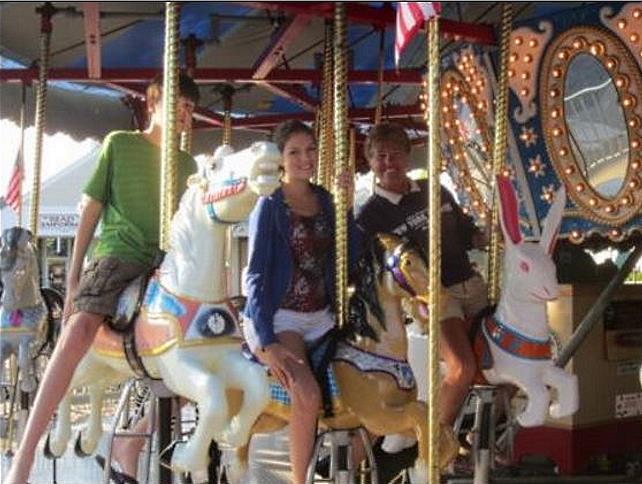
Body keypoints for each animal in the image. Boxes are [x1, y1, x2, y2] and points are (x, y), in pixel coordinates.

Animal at [478, 176, 576, 426]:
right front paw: (526, 418)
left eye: (552, 266)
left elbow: (568, 381)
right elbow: (540, 393)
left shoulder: (543, 369)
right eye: (524, 266)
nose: (551, 290)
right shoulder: (517, 374)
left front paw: (558, 410)